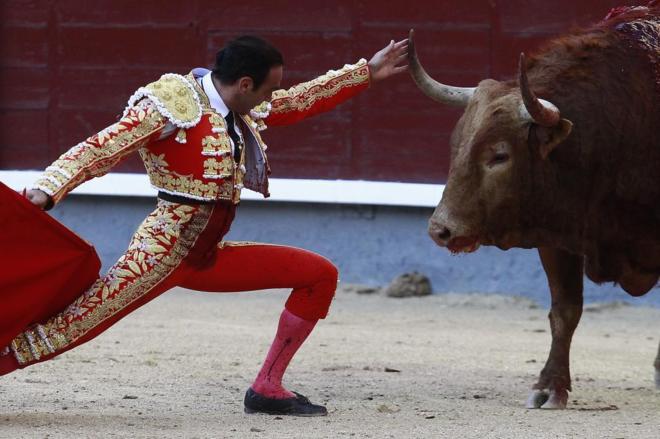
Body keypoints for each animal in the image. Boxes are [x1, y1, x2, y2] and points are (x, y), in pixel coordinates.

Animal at [408, 3, 660, 409]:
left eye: (499, 155)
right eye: (455, 144)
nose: (441, 229)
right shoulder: (557, 234)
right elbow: (565, 311)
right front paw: (549, 387)